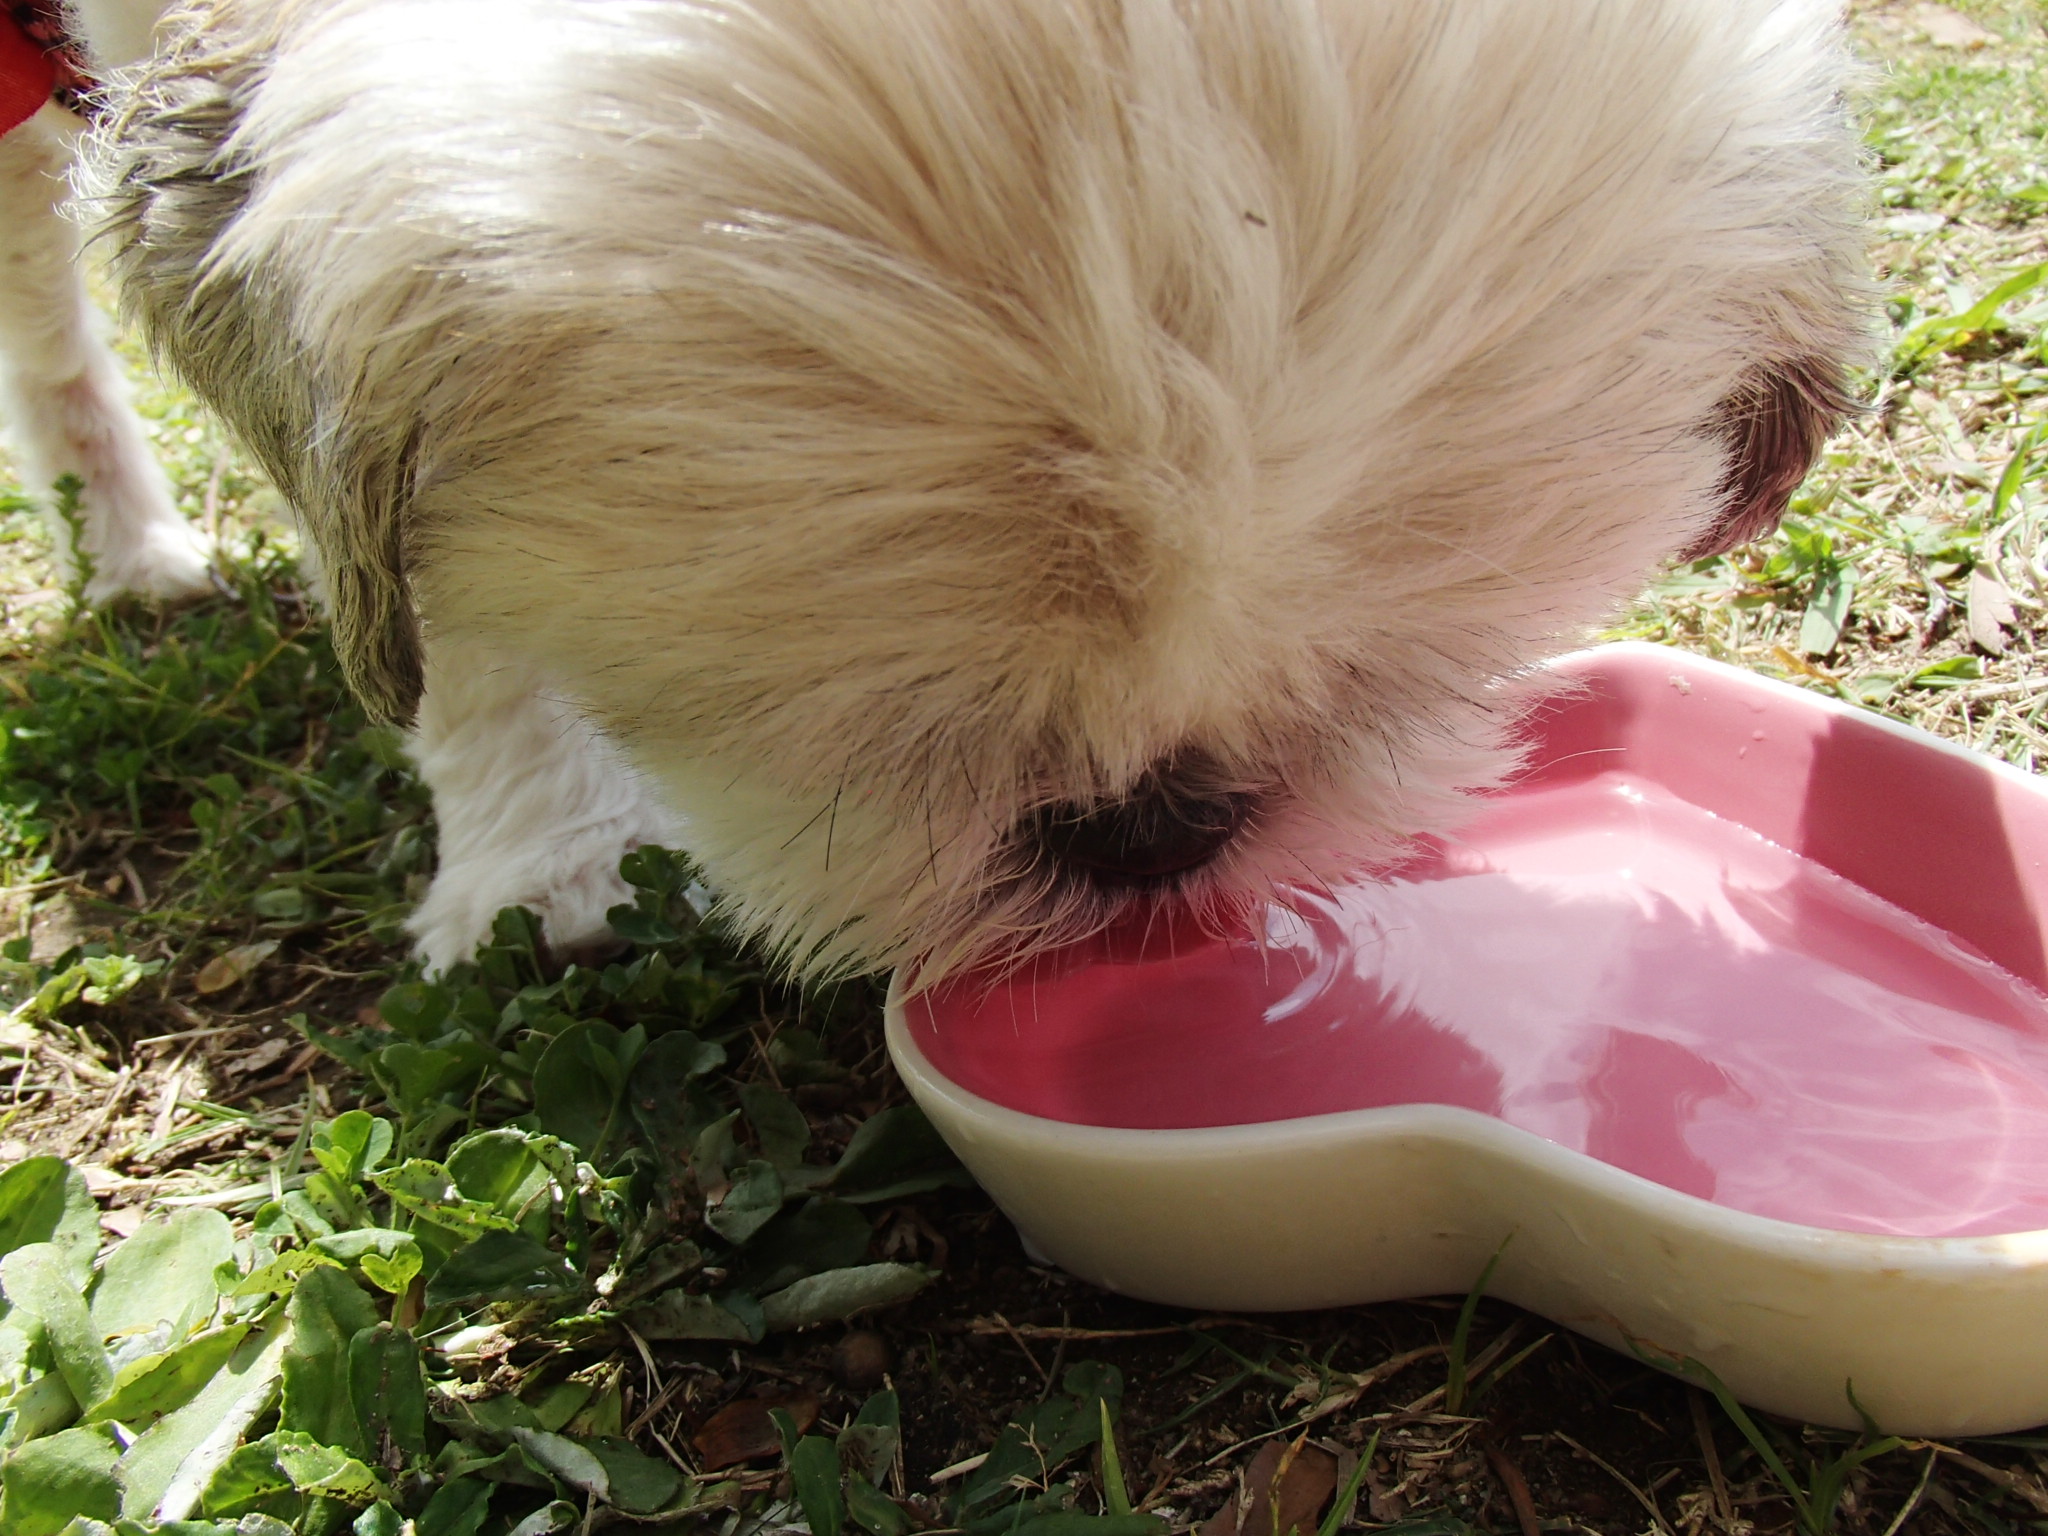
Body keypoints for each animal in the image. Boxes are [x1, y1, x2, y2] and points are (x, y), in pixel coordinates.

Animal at [68, 0, 1875, 987]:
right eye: (818, 706)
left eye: (1404, 664)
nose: (1154, 830)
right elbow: (445, 624)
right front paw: (532, 859)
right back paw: (134, 540)